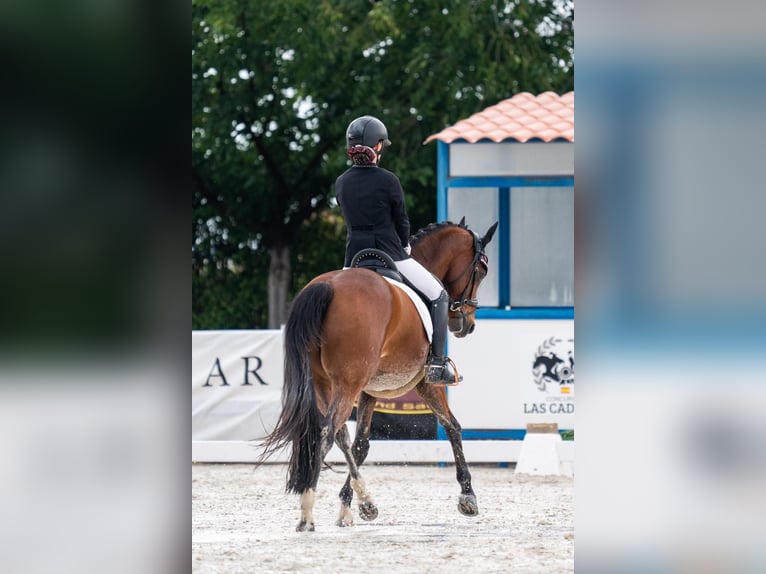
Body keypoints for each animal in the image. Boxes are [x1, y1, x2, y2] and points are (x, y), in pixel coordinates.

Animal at [260, 218, 500, 532]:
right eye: (482, 270)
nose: (466, 325)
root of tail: (327, 286)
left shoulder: (370, 390)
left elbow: (360, 445)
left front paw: (348, 506)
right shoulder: (425, 382)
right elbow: (453, 427)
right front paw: (468, 496)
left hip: (326, 384)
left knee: (339, 434)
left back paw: (362, 500)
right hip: (347, 383)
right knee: (327, 432)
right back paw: (309, 513)